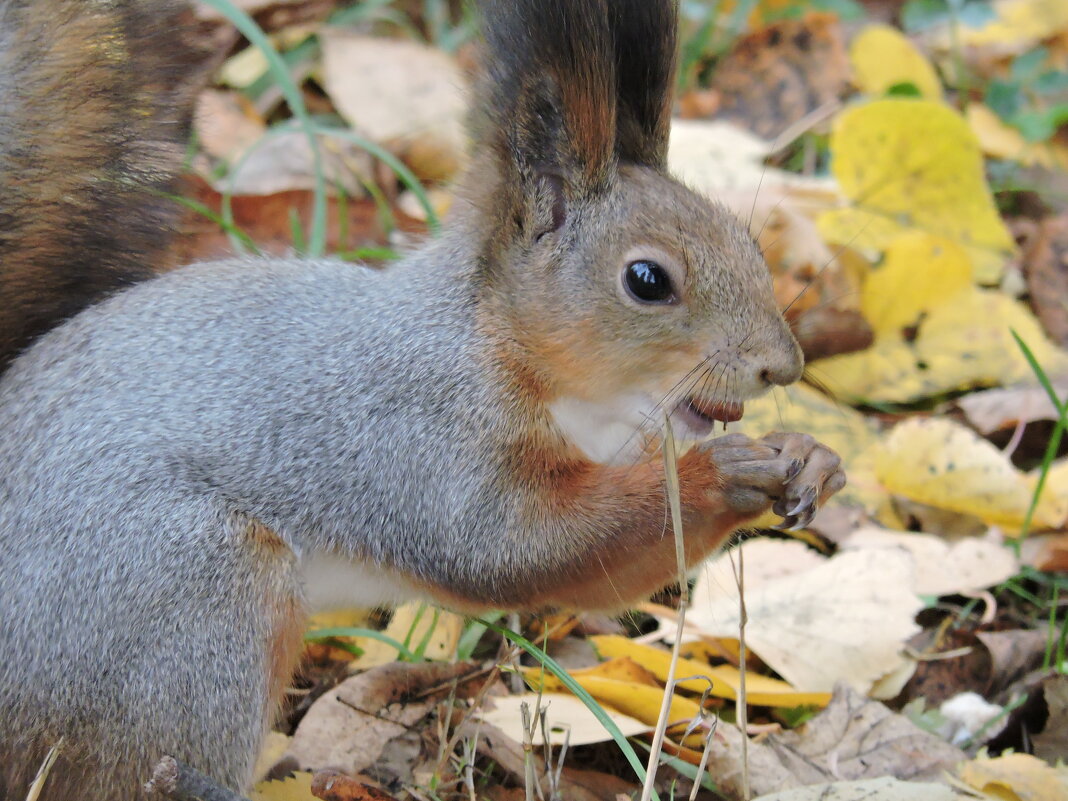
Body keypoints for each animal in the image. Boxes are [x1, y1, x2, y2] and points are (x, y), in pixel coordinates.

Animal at [2, 1, 850, 801]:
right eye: (647, 280)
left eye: (749, 242)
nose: (784, 365)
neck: (505, 346)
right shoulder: (419, 434)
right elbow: (511, 549)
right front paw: (717, 475)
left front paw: (809, 457)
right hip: (187, 601)